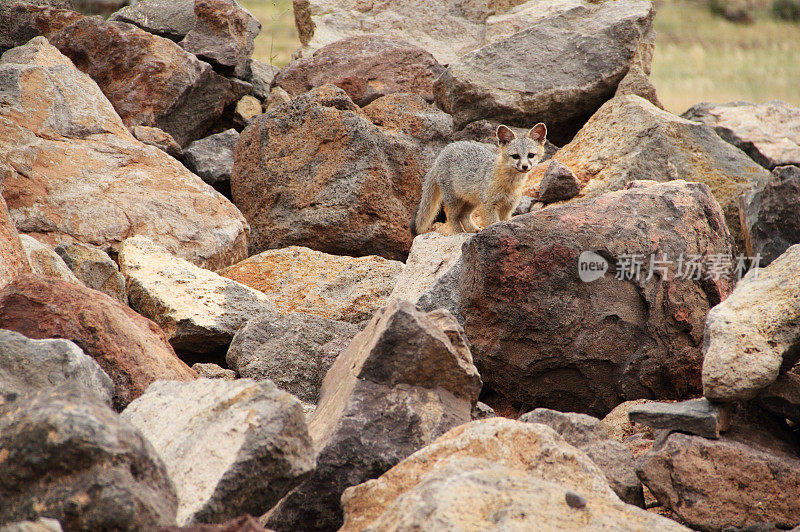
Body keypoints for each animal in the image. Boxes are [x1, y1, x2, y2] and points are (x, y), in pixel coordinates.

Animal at [410, 124, 548, 235]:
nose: (525, 166)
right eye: (515, 156)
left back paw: (473, 230)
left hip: (472, 201)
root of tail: (442, 152)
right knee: (451, 215)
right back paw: (458, 232)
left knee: (463, 215)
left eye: (531, 155)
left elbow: (504, 221)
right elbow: (493, 222)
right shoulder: (488, 205)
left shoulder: (508, 207)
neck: (510, 185)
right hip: (454, 199)